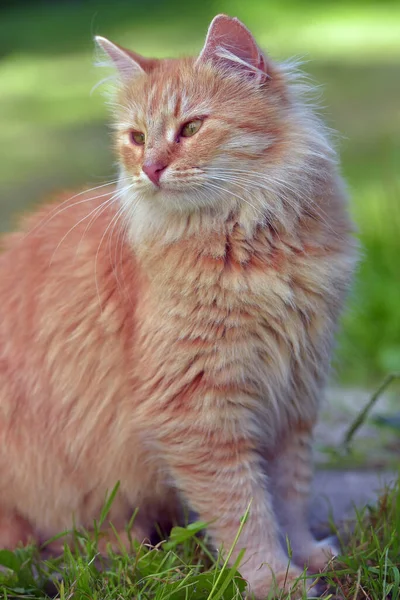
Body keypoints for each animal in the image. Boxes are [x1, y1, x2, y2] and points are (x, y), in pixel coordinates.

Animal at [0, 14, 356, 600]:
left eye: (190, 129)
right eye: (137, 137)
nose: (150, 168)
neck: (249, 246)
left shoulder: (295, 397)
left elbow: (290, 495)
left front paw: (307, 554)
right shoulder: (197, 410)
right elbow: (245, 510)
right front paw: (274, 577)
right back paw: (122, 547)